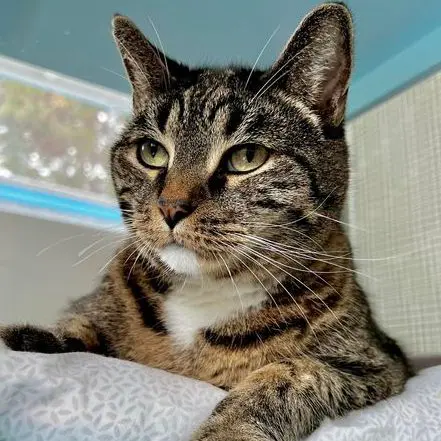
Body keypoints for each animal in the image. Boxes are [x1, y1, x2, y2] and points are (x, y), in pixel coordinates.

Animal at [1, 4, 410, 440]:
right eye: (151, 152)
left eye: (247, 157)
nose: (171, 208)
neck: (204, 292)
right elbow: (76, 328)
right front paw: (30, 338)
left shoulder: (378, 363)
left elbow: (294, 373)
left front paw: (229, 427)